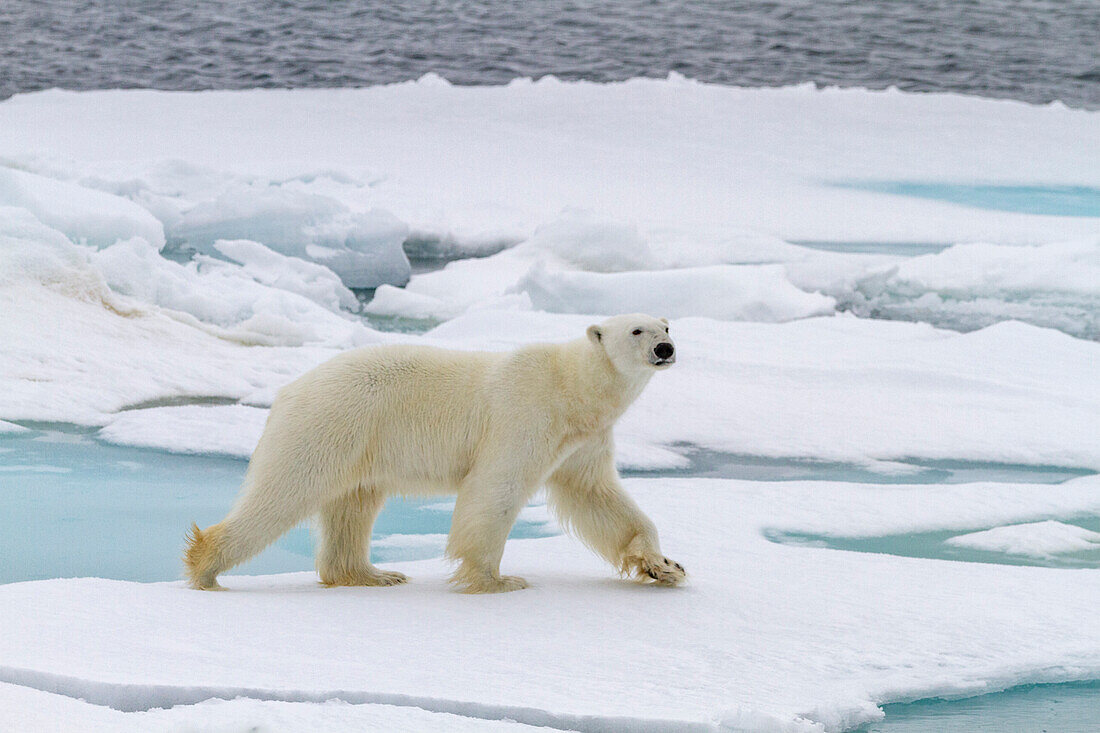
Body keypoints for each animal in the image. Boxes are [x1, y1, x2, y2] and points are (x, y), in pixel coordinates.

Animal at [187, 310, 686, 589]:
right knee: (285, 492)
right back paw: (205, 566)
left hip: (358, 443)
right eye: (636, 330)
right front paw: (498, 580)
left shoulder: (582, 440)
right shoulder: (524, 416)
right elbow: (495, 489)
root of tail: (289, 391)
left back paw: (372, 574)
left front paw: (664, 566)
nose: (665, 348)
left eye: (666, 326)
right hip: (330, 425)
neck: (571, 388)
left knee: (352, 505)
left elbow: (599, 497)